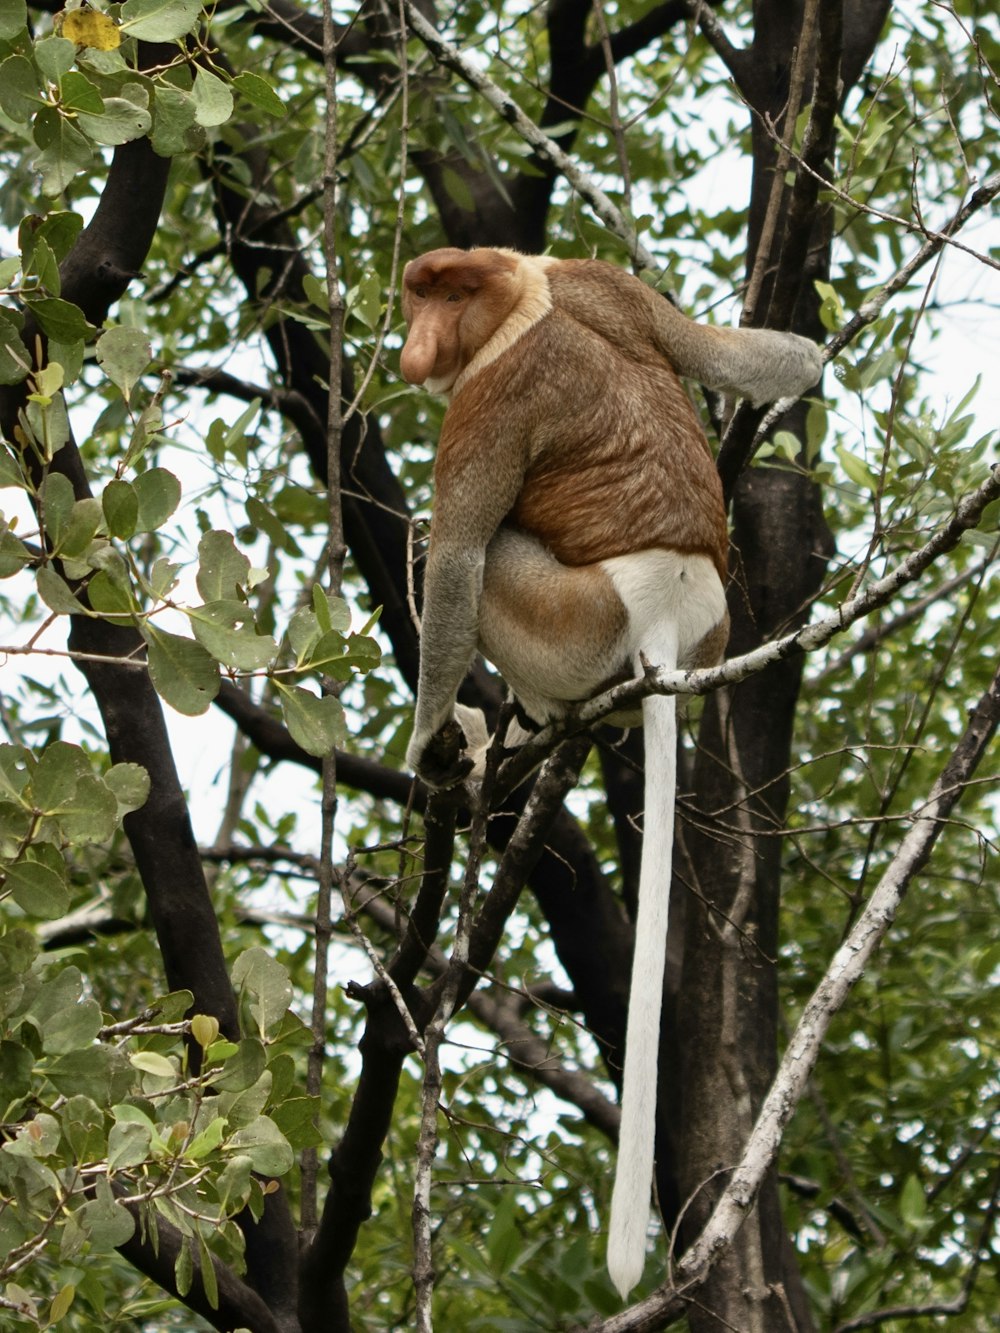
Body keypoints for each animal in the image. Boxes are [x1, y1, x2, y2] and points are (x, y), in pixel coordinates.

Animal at [400, 247, 821, 1290]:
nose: (418, 341)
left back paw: (504, 729)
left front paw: (425, 745)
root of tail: (665, 620)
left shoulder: (489, 398)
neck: (523, 294)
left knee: (486, 556)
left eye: (451, 295)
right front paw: (792, 366)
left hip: (566, 619)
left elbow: (456, 557)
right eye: (421, 292)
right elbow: (743, 354)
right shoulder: (600, 275)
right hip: (700, 631)